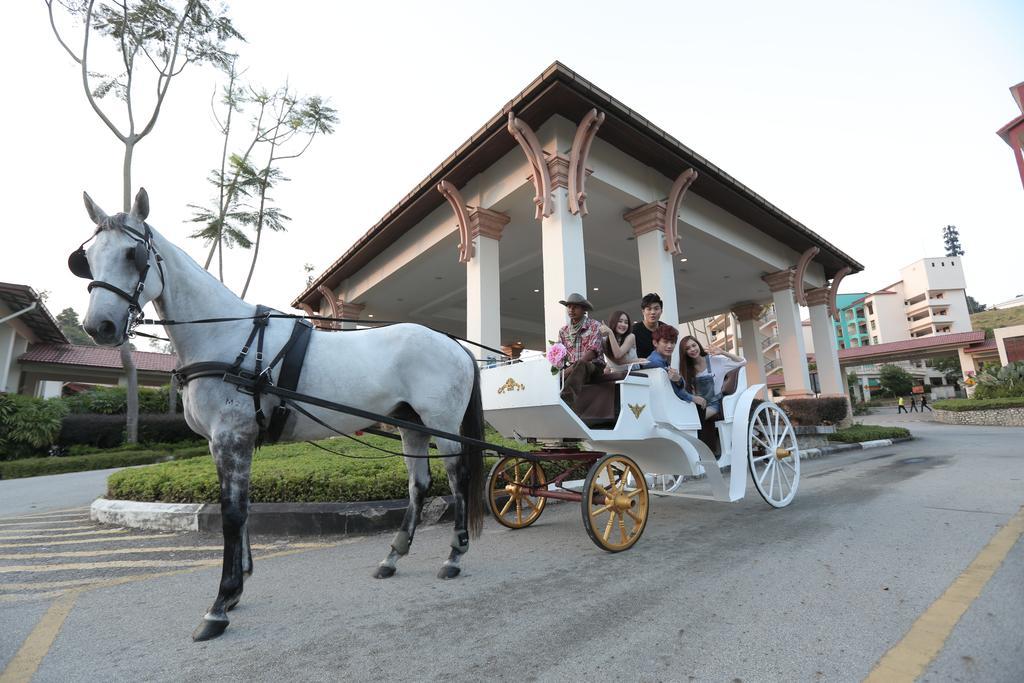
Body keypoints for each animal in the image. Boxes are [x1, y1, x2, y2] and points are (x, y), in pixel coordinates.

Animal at [74, 189, 485, 643]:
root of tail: (453, 343)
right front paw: (237, 588)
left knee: (458, 478)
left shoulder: (232, 437)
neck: (226, 337)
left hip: (443, 425)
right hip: (410, 424)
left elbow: (232, 514)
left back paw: (455, 555)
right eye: (87, 257)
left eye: (134, 254)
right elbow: (242, 507)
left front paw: (221, 603)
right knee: (419, 485)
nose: (99, 326)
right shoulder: (227, 442)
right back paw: (393, 556)